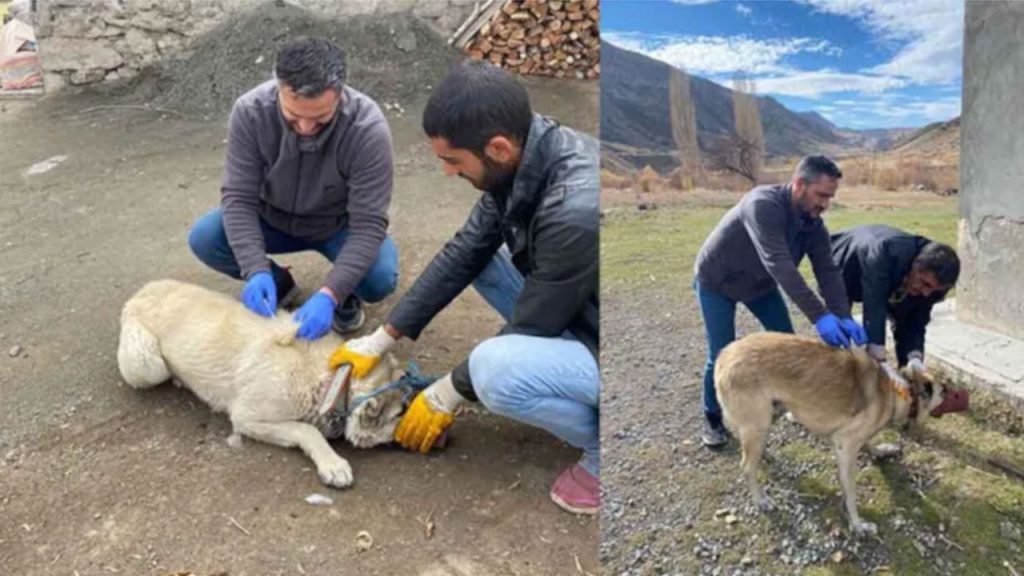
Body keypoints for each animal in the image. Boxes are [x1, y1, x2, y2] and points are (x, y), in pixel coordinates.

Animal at [118, 278, 407, 487]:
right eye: (400, 413)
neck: (333, 381)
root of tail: (141, 291)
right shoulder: (247, 419)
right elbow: (307, 430)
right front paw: (332, 463)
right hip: (149, 364)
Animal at [712, 330, 942, 537]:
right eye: (946, 389)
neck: (898, 390)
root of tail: (724, 355)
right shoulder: (845, 444)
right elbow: (850, 490)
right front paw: (857, 524)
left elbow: (868, 443)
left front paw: (879, 451)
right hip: (757, 424)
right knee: (747, 467)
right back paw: (760, 499)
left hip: (769, 416)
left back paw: (765, 456)